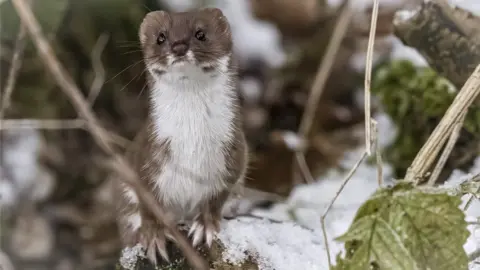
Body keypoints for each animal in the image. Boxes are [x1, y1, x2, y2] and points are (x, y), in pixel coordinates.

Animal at [112, 7, 248, 264]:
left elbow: (218, 195)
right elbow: (147, 203)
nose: (178, 46)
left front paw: (204, 226)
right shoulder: (146, 156)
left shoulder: (235, 152)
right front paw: (154, 236)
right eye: (161, 37)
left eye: (200, 33)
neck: (192, 139)